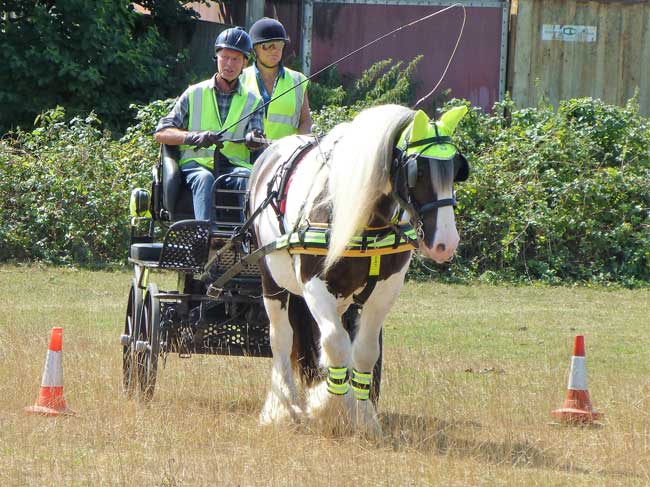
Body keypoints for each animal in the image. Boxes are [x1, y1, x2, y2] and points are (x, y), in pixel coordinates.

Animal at [247, 104, 466, 438]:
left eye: (456, 170)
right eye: (418, 172)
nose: (445, 243)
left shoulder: (385, 291)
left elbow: (362, 352)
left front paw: (362, 416)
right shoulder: (312, 284)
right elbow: (336, 345)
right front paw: (329, 408)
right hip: (272, 280)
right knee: (282, 339)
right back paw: (284, 408)